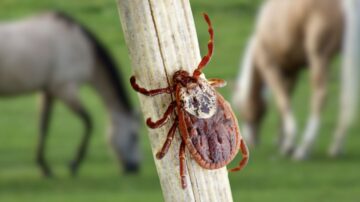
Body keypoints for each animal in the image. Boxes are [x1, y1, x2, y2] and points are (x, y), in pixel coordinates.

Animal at [0, 11, 141, 175]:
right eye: (134, 136)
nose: (135, 167)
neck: (82, 48)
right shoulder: (65, 89)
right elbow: (88, 122)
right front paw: (74, 164)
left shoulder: (48, 92)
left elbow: (43, 127)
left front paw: (44, 167)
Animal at [232, 0, 358, 160]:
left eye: (240, 109)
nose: (251, 140)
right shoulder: (292, 71)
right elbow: (286, 98)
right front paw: (282, 141)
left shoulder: (270, 67)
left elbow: (282, 100)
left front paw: (289, 143)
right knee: (345, 98)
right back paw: (336, 146)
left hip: (319, 57)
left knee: (320, 97)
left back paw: (304, 149)